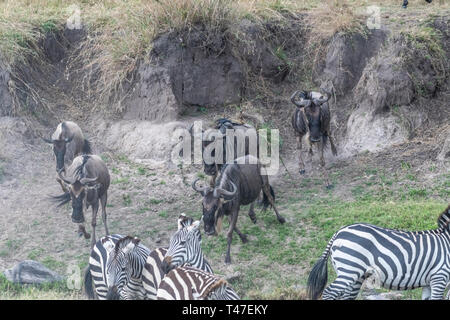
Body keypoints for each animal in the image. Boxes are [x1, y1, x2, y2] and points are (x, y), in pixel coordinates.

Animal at [306, 205, 450, 300]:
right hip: (348, 271)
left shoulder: (429, 282)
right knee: (328, 293)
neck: (447, 240)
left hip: (353, 276)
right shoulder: (439, 277)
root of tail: (338, 232)